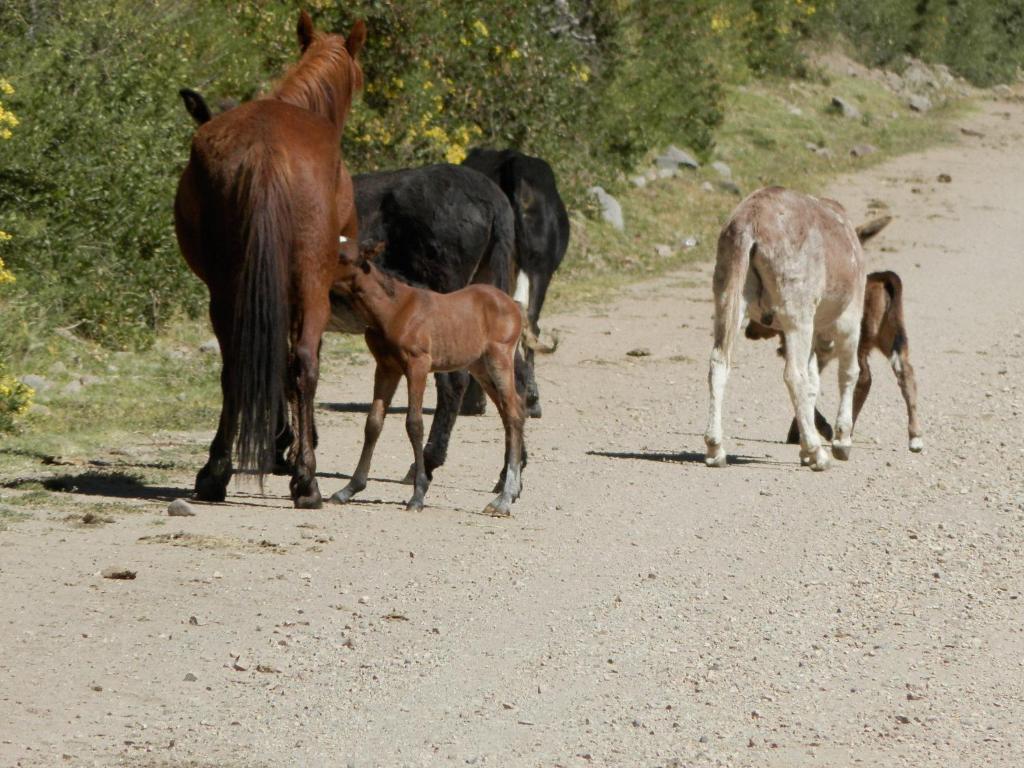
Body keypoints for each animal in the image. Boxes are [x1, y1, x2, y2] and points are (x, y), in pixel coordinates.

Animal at [174, 12, 366, 507]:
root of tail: (266, 152)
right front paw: (292, 444)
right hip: (311, 288)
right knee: (304, 362)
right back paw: (305, 479)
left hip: (227, 289)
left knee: (235, 368)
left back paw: (216, 472)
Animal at [329, 246, 528, 518]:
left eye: (345, 258)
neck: (393, 310)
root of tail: (513, 305)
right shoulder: (386, 368)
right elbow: (373, 423)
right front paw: (348, 489)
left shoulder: (418, 366)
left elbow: (414, 424)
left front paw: (418, 495)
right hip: (480, 366)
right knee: (510, 413)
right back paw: (511, 492)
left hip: (500, 359)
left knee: (514, 413)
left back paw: (504, 499)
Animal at [704, 189, 864, 473]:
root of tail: (750, 224)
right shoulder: (849, 320)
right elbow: (847, 374)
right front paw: (841, 442)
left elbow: (814, 383)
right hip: (797, 314)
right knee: (794, 375)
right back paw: (818, 455)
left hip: (727, 297)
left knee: (719, 364)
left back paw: (715, 450)